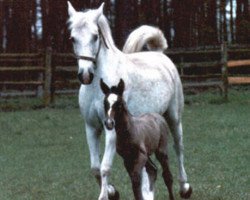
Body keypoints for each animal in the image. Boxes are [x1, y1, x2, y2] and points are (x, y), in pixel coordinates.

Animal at [67, 1, 192, 200]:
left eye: (95, 36)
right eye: (73, 38)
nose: (85, 75)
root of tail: (160, 55)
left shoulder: (110, 130)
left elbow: (105, 167)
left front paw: (105, 195)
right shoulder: (92, 127)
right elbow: (95, 167)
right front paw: (112, 191)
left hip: (174, 117)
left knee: (178, 147)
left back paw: (184, 187)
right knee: (148, 167)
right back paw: (148, 193)